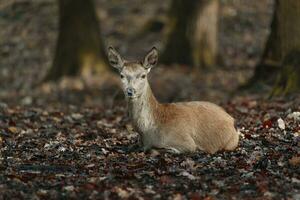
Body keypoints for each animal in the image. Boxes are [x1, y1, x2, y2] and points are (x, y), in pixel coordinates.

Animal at [108, 46, 239, 153]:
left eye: (143, 75)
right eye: (121, 75)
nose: (130, 91)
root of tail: (231, 119)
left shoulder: (186, 142)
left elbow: (158, 149)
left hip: (230, 142)